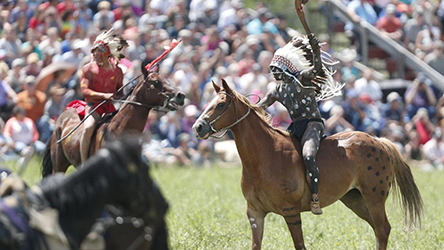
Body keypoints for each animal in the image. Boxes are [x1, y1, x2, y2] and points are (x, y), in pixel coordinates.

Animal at [193, 79, 422, 250]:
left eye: (221, 104)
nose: (198, 127)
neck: (265, 155)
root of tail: (379, 141)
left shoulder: (291, 212)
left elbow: (300, 245)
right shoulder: (255, 214)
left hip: (374, 198)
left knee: (382, 229)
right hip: (355, 199)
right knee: (379, 229)